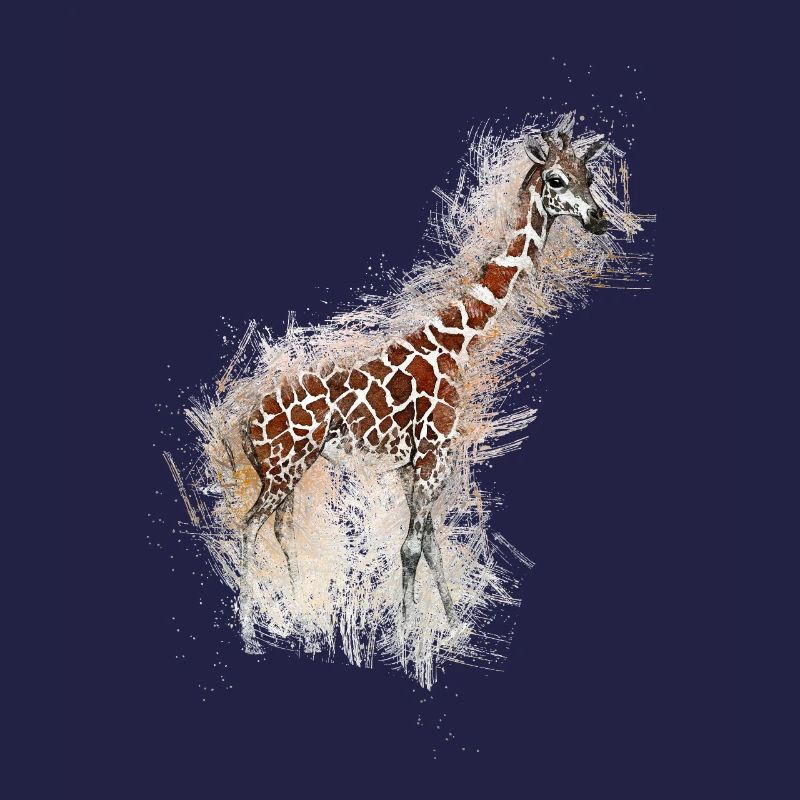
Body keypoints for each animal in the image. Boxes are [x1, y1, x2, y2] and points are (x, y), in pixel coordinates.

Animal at [235, 122, 609, 652]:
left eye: (589, 175)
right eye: (556, 179)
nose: (598, 218)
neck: (458, 339)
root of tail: (243, 426)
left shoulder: (415, 464)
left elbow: (430, 542)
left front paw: (450, 624)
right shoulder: (433, 453)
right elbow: (412, 545)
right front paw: (409, 634)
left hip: (289, 471)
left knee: (282, 530)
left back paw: (300, 618)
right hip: (282, 470)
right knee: (248, 529)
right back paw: (251, 631)